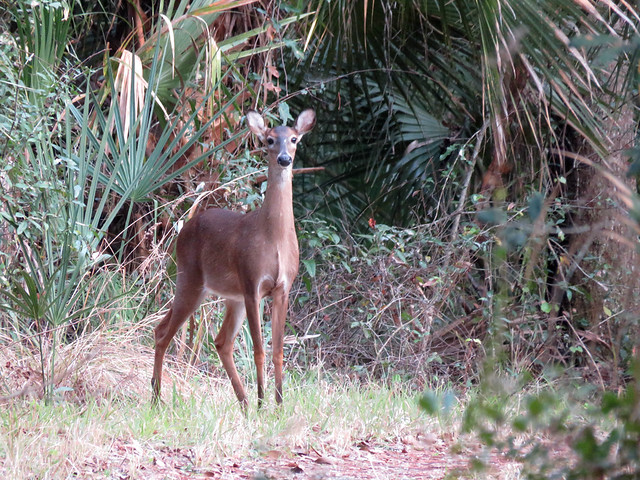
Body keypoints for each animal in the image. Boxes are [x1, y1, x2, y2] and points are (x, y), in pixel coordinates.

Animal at [152, 108, 318, 408]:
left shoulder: (283, 287)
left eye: (294, 139)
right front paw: (265, 404)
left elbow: (277, 350)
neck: (273, 238)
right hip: (190, 278)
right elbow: (259, 350)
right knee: (163, 333)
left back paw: (244, 404)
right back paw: (157, 398)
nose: (284, 159)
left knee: (221, 341)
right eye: (269, 140)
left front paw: (278, 404)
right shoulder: (252, 281)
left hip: (230, 295)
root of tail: (184, 229)